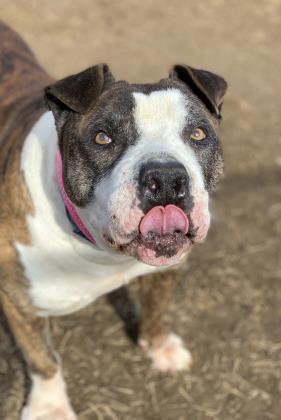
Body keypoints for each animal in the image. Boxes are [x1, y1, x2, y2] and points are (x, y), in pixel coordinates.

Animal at [0, 20, 226, 420]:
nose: (166, 177)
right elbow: (42, 359)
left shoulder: (169, 267)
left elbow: (155, 309)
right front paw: (50, 406)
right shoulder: (19, 300)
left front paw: (158, 346)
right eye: (102, 138)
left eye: (198, 134)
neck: (100, 253)